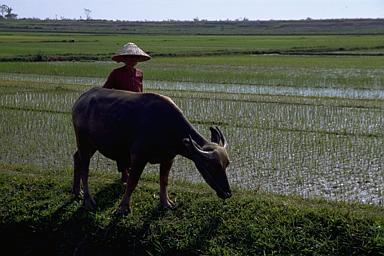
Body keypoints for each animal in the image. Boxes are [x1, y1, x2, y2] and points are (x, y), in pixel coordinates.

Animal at [72, 87, 231, 215]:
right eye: (211, 166)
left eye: (226, 165)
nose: (227, 193)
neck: (168, 127)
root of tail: (80, 100)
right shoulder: (138, 157)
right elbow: (132, 182)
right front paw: (123, 208)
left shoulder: (168, 158)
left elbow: (164, 180)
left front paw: (166, 203)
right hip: (84, 142)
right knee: (85, 168)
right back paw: (88, 200)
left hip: (91, 145)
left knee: (76, 158)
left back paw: (77, 192)